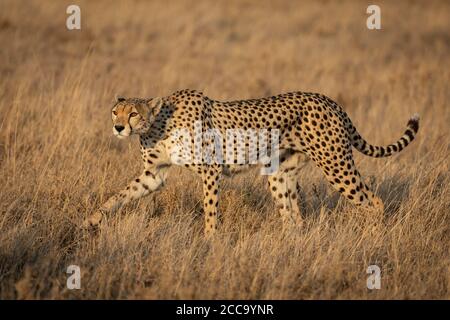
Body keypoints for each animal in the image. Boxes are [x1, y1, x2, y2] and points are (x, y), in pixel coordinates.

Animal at [82, 89, 420, 235]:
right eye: (115, 112)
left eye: (133, 113)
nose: (118, 127)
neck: (156, 125)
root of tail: (327, 99)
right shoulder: (154, 174)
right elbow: (119, 195)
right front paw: (92, 220)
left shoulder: (211, 170)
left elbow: (210, 209)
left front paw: (210, 240)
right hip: (280, 174)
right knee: (293, 219)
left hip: (336, 165)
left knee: (374, 202)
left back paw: (374, 236)